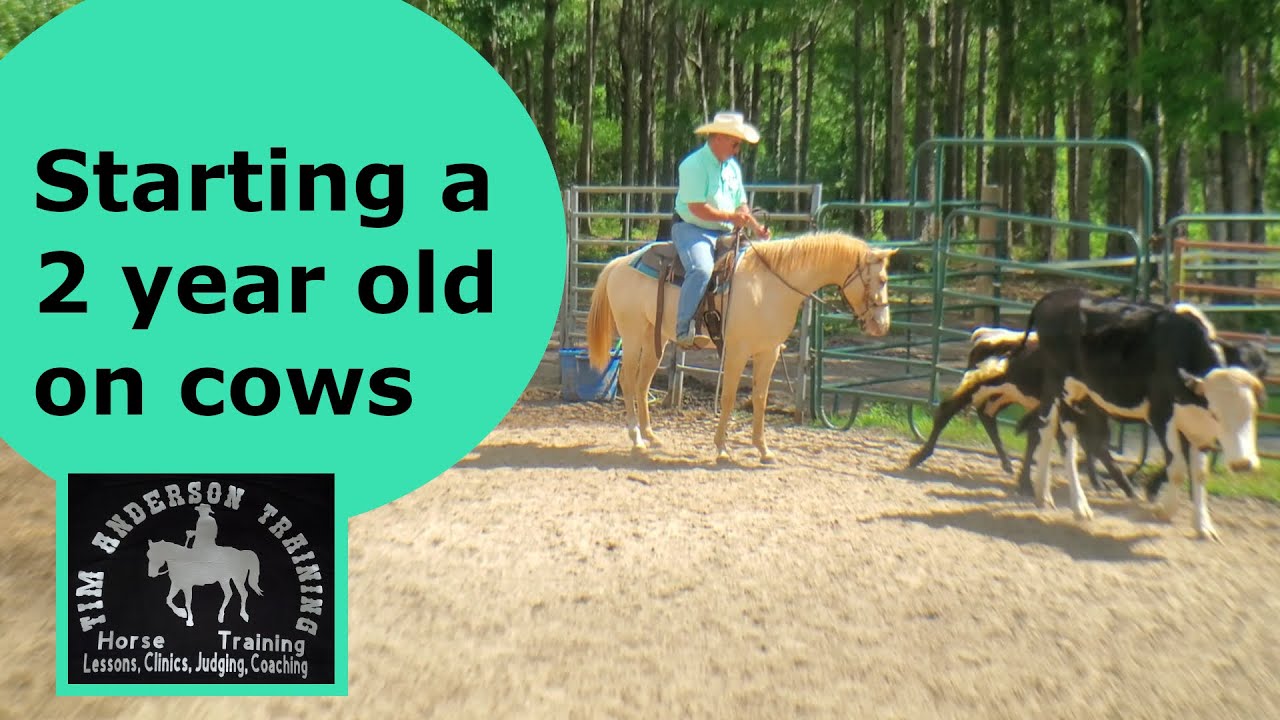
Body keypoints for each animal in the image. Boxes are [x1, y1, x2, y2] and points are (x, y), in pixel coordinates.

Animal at [586, 231, 896, 462]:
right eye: (881, 280)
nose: (882, 326)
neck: (769, 285)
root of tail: (620, 262)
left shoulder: (768, 352)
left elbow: (760, 398)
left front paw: (764, 449)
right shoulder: (736, 351)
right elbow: (729, 397)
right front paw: (722, 448)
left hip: (656, 339)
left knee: (642, 383)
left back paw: (651, 436)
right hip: (633, 335)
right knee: (627, 380)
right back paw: (636, 439)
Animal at [1020, 288, 1264, 540]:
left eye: (1254, 409)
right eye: (1216, 413)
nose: (1243, 463)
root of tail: (1056, 295)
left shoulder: (1197, 426)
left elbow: (1199, 473)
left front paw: (1203, 526)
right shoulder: (1161, 415)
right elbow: (1177, 468)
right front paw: (1165, 510)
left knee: (1050, 430)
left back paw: (1043, 494)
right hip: (1062, 386)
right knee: (1064, 437)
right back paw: (1078, 505)